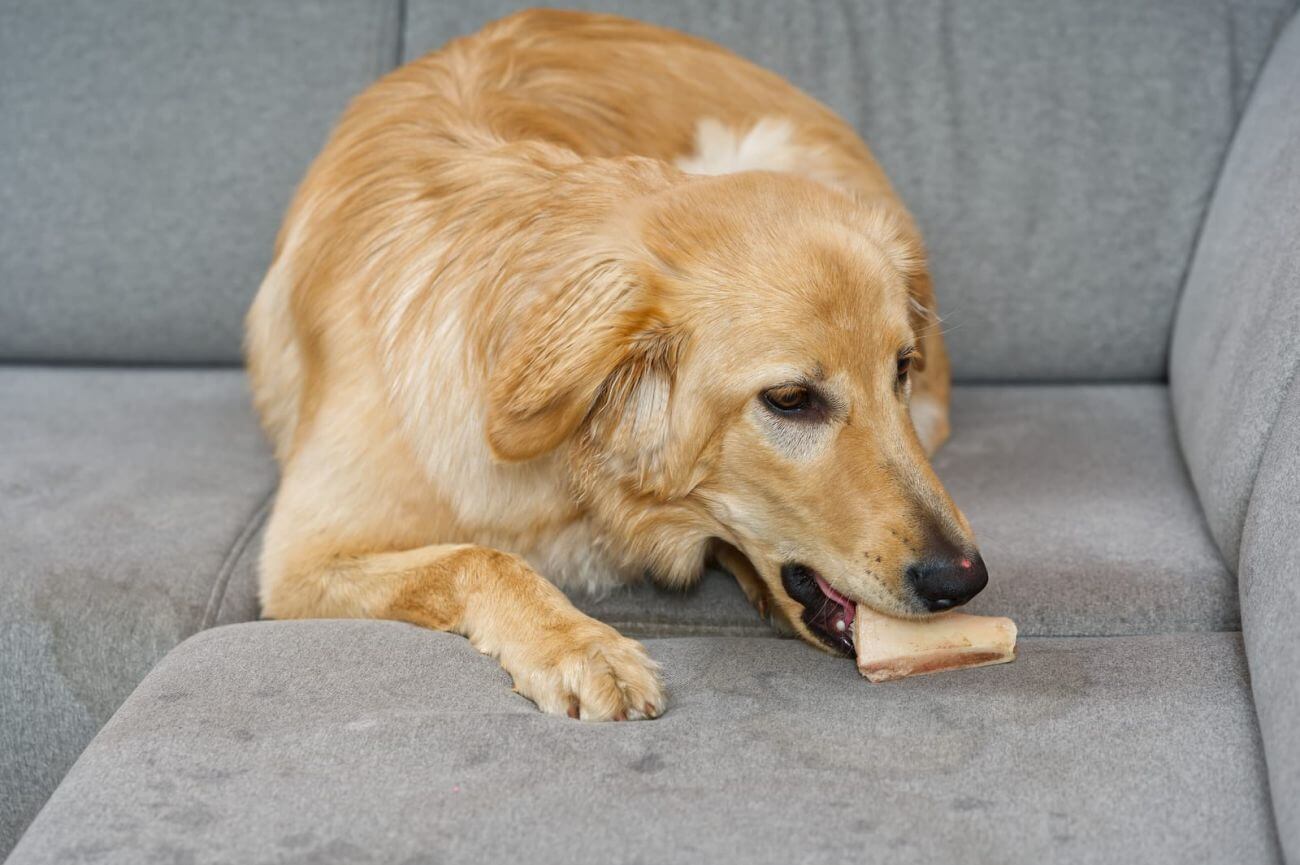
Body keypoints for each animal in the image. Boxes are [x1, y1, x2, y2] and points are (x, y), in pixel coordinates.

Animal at [248, 10, 987, 718]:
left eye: (901, 368)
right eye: (789, 399)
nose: (964, 580)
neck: (575, 479)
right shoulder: (299, 563)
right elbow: (478, 557)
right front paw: (580, 645)